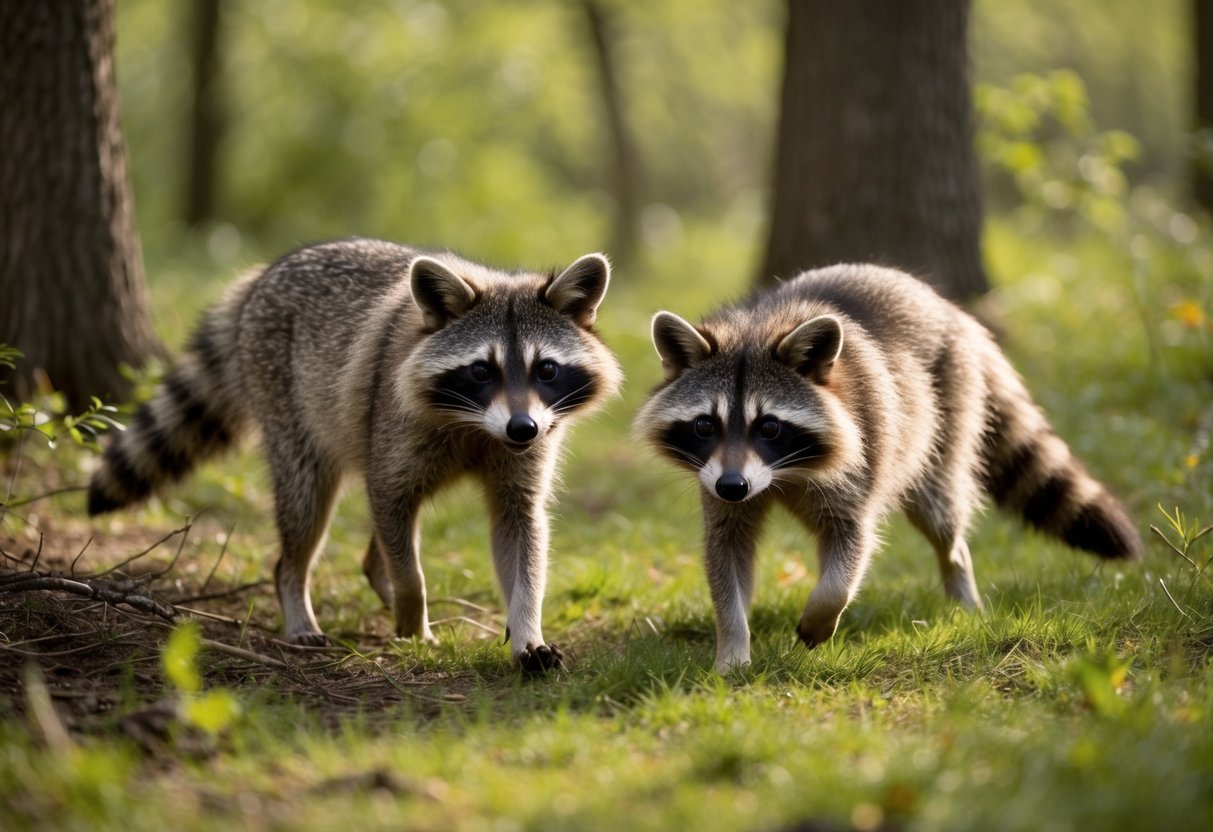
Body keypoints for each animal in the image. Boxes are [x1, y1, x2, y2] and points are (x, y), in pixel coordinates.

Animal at [89, 239, 622, 670]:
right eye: (480, 371)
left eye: (546, 370)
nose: (521, 428)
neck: (476, 426)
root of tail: (263, 277)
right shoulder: (395, 428)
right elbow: (400, 539)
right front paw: (412, 615)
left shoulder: (526, 453)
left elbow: (523, 534)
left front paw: (526, 626)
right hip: (290, 410)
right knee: (308, 509)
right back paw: (299, 591)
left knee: (380, 535)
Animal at [636, 263, 1141, 672]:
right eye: (705, 425)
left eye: (771, 427)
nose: (734, 486)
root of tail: (952, 311)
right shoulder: (716, 480)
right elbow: (726, 556)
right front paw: (733, 647)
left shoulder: (863, 457)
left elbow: (852, 546)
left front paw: (823, 610)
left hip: (944, 420)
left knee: (941, 517)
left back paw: (959, 578)